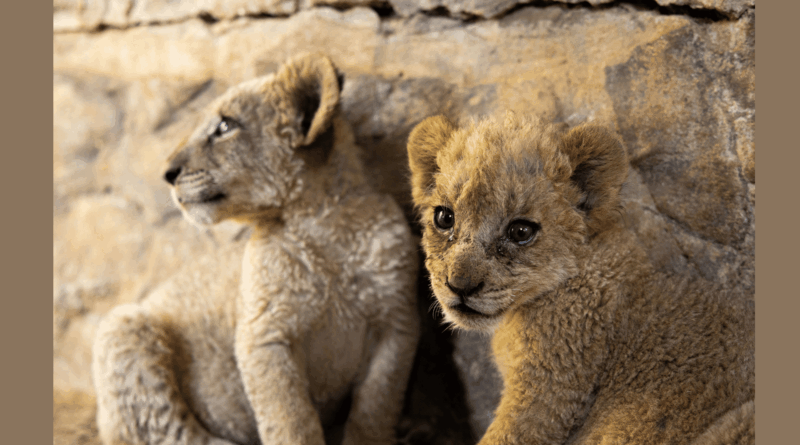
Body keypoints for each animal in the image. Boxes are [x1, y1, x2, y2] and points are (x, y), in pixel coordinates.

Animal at [92, 53, 420, 445]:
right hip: (121, 326)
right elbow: (291, 422)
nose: (167, 173)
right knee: (170, 430)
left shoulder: (396, 327)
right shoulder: (263, 336)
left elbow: (373, 413)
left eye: (224, 126)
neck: (323, 223)